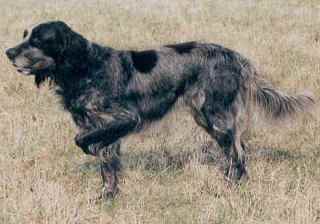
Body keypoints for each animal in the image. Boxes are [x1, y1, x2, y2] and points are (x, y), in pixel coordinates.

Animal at [5, 21, 316, 199]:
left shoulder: (125, 118)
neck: (84, 67)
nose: (8, 52)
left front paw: (93, 157)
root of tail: (237, 58)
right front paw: (107, 198)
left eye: (37, 40)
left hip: (215, 117)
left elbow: (83, 141)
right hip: (208, 118)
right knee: (238, 151)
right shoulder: (102, 128)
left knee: (238, 154)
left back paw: (230, 189)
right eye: (25, 35)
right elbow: (108, 168)